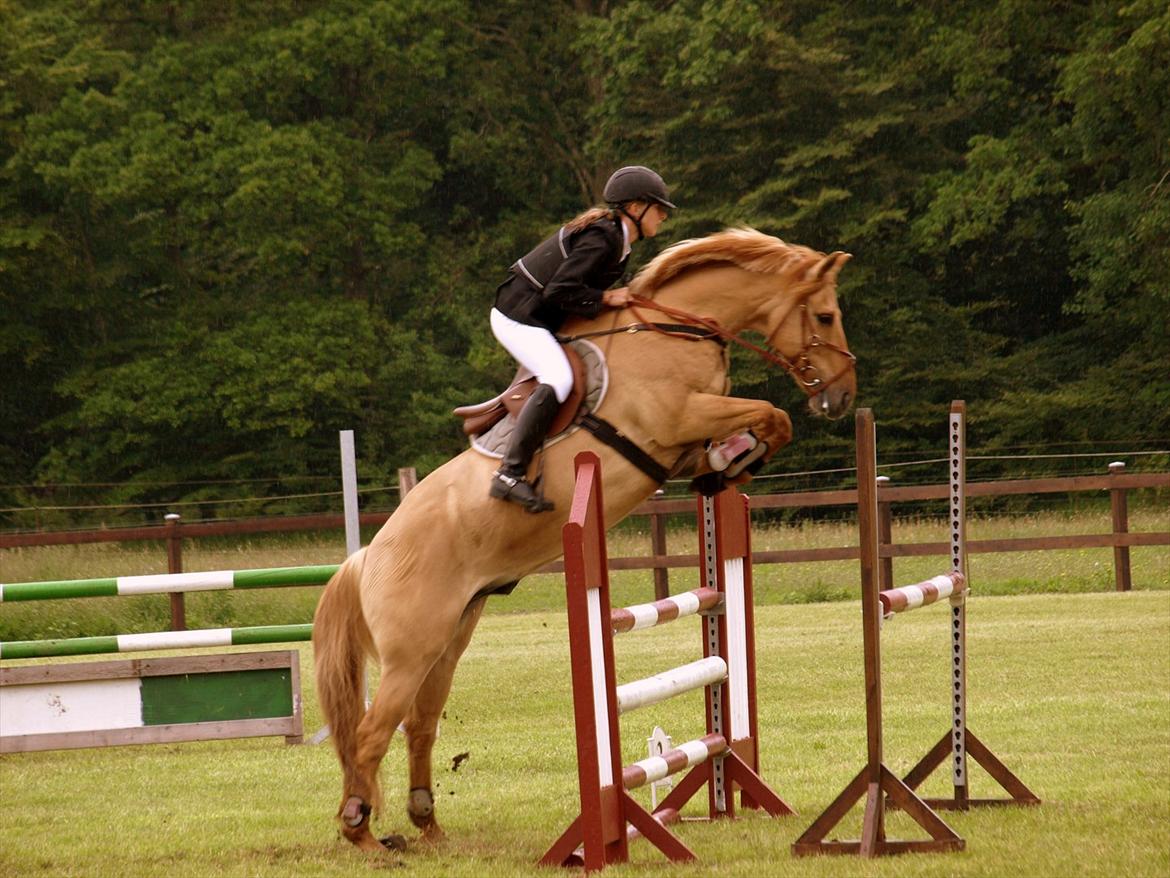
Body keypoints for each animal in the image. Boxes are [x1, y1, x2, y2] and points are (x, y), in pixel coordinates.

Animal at [315, 227, 856, 852]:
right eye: (825, 315)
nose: (842, 396)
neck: (671, 332)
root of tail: (368, 556)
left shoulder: (686, 435)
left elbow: (765, 425)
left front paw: (726, 465)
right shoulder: (679, 417)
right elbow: (771, 414)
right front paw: (734, 458)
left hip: (447, 642)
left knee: (419, 725)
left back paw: (427, 825)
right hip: (411, 651)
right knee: (371, 733)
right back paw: (361, 832)